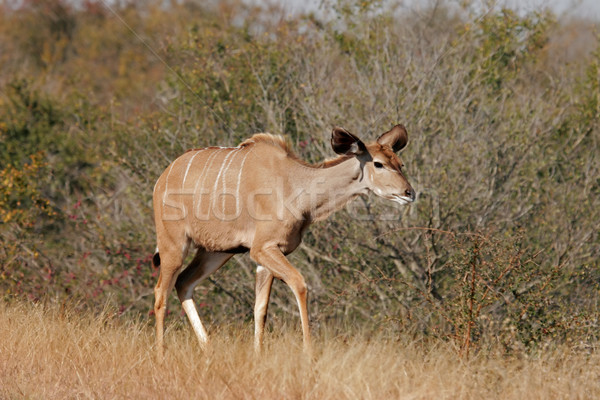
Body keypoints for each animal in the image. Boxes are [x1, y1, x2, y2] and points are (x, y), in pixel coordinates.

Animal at [152, 125, 414, 356]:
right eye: (378, 163)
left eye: (400, 164)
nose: (409, 193)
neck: (295, 187)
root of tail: (161, 179)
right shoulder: (263, 249)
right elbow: (299, 284)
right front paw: (308, 351)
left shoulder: (267, 255)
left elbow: (260, 309)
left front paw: (258, 356)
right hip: (173, 245)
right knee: (160, 294)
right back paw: (161, 354)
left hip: (215, 252)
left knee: (184, 283)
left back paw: (208, 348)